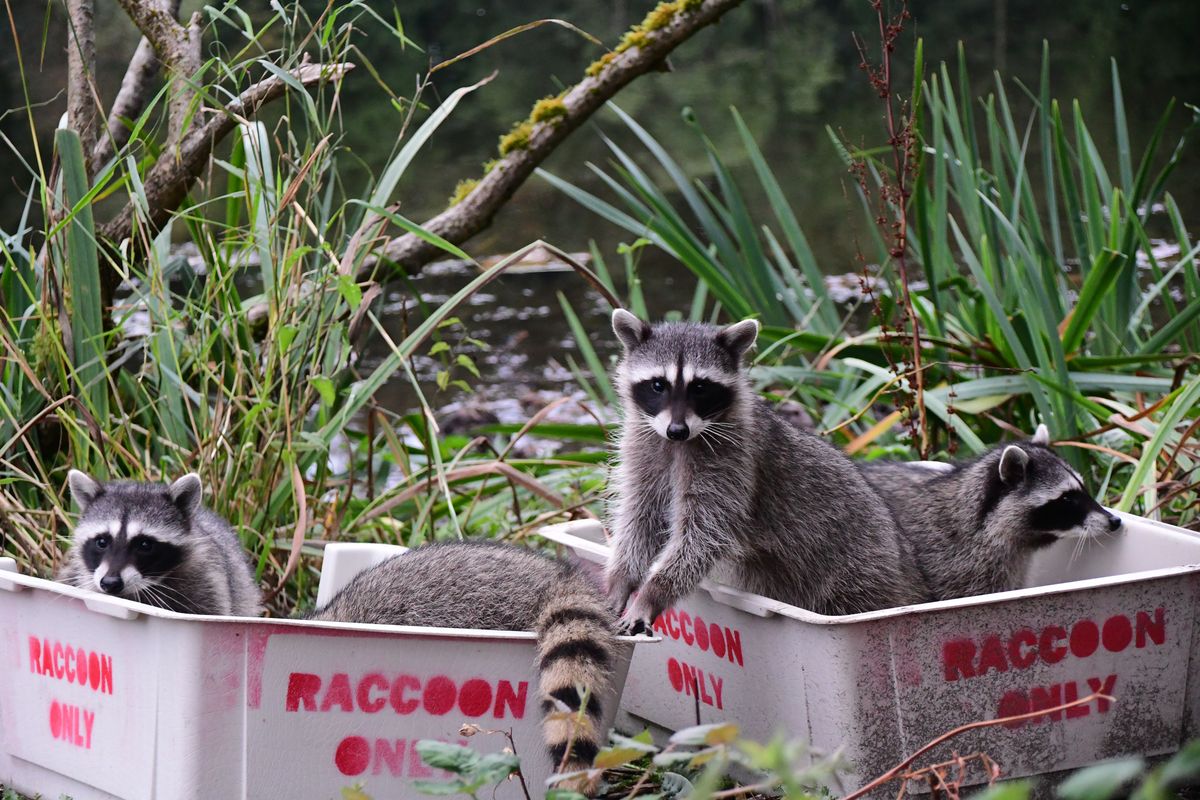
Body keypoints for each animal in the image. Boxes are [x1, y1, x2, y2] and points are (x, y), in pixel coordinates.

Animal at [600, 311, 926, 633]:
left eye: (700, 387)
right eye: (658, 385)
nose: (677, 430)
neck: (680, 443)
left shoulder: (733, 462)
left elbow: (702, 535)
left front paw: (653, 592)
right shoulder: (643, 449)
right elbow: (640, 517)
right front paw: (621, 578)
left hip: (860, 566)